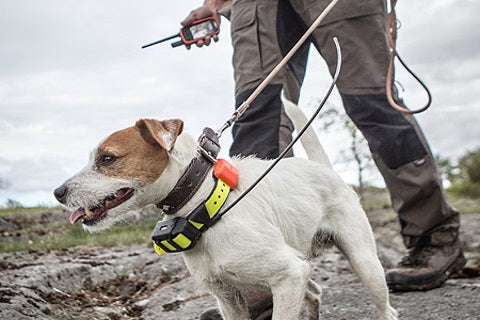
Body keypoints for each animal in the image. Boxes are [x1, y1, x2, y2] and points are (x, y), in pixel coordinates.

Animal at [53, 100, 398, 320]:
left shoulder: (288, 275)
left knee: (385, 308)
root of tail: (323, 169)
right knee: (314, 292)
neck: (206, 204)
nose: (58, 193)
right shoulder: (229, 297)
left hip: (365, 262)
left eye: (108, 159)